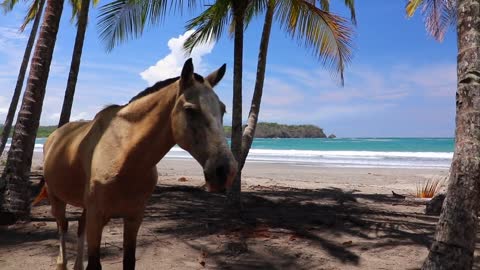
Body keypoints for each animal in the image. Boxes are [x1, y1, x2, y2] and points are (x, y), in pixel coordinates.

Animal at [37, 59, 238, 270]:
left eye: (223, 110)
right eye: (190, 110)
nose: (226, 171)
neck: (124, 156)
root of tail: (54, 136)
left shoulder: (133, 217)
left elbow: (129, 261)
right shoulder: (97, 216)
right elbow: (94, 264)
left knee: (79, 227)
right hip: (57, 199)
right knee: (63, 226)